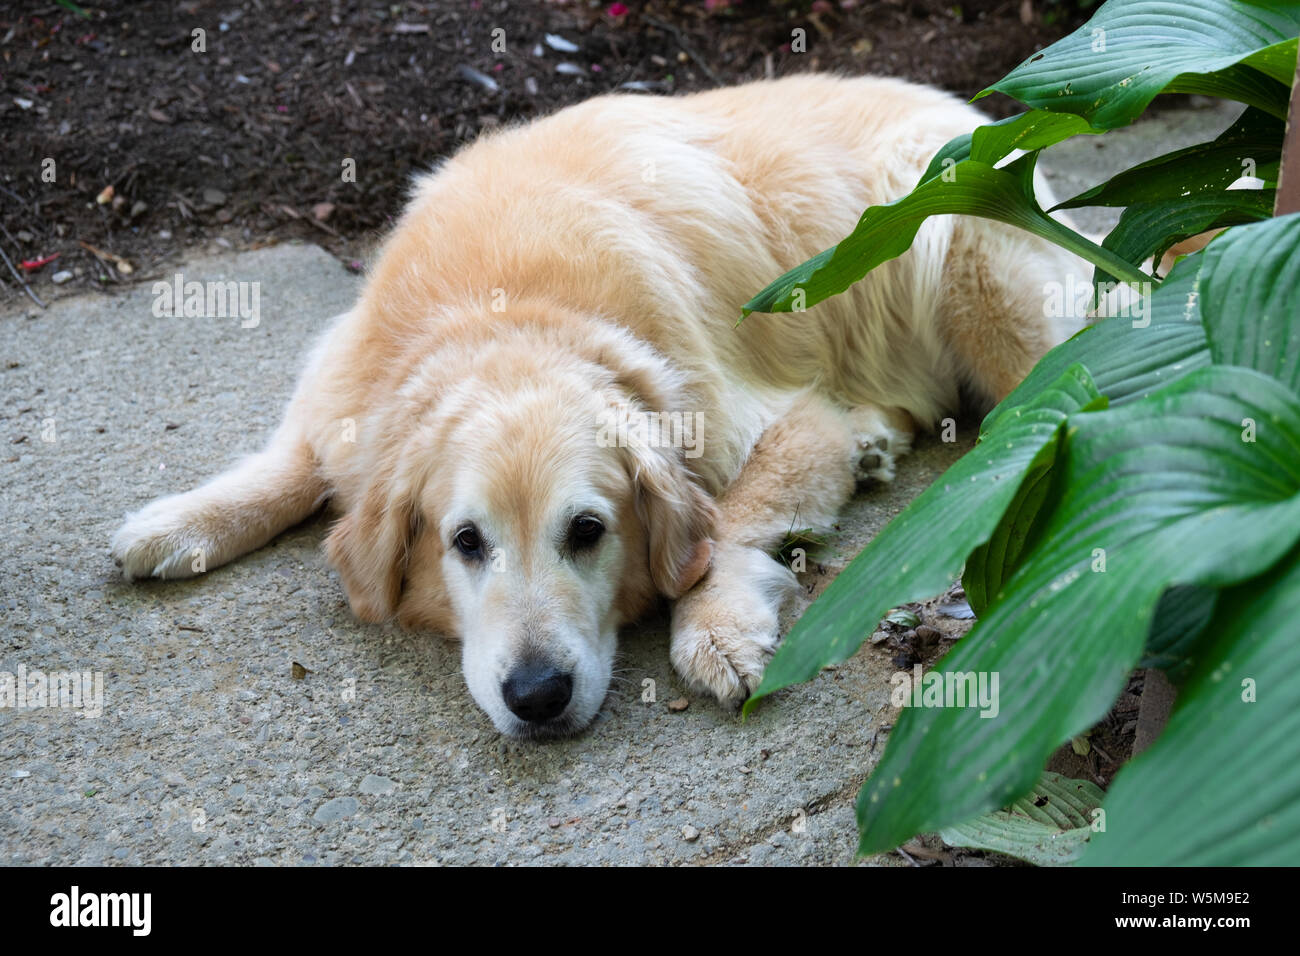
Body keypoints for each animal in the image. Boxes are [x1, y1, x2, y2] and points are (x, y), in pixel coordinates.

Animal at [109, 74, 1086, 738]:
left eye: (588, 532)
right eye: (466, 543)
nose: (537, 697)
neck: (506, 315)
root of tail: (977, 110)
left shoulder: (779, 417)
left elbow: (726, 523)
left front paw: (716, 627)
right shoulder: (344, 386)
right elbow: (292, 461)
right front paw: (181, 520)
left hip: (968, 239)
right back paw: (880, 442)